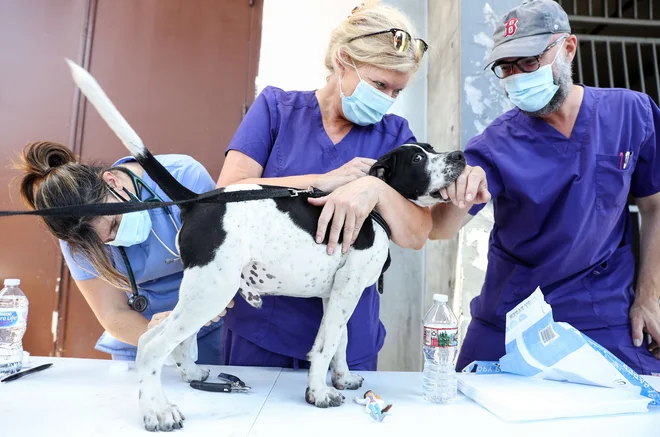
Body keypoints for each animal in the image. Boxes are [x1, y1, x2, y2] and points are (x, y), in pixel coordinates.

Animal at [65, 59, 464, 430]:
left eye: (432, 148)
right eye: (418, 158)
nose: (460, 156)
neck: (374, 210)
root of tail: (198, 201)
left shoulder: (336, 294)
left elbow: (340, 341)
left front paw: (342, 378)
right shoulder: (346, 291)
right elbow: (326, 345)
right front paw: (318, 393)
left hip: (204, 292)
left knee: (170, 339)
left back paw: (192, 374)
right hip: (211, 291)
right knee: (151, 346)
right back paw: (158, 412)